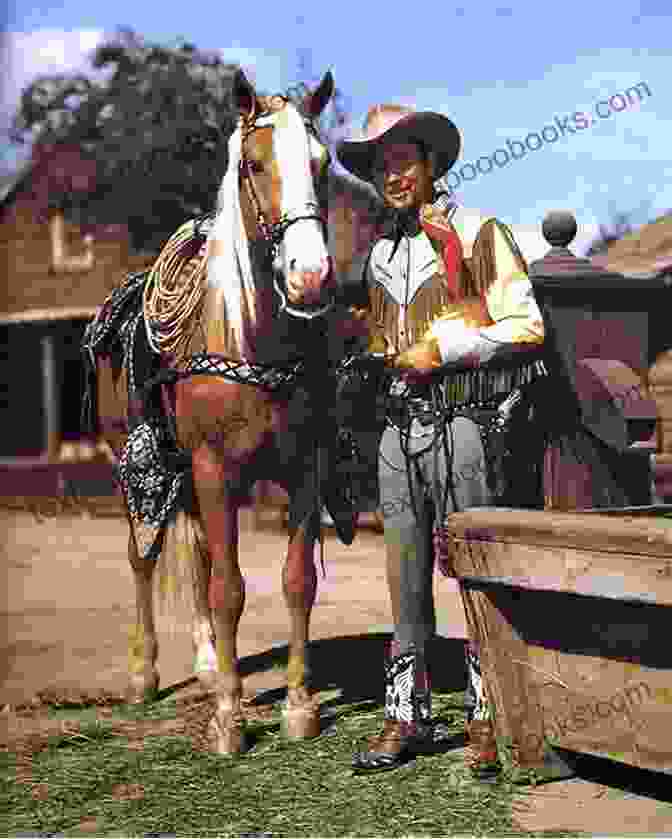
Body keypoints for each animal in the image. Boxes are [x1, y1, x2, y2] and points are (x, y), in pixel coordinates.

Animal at [89, 69, 364, 756]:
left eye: (321, 163)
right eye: (254, 163)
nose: (311, 276)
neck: (252, 343)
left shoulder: (303, 471)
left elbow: (295, 581)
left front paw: (298, 707)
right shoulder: (215, 471)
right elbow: (230, 589)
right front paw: (229, 721)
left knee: (198, 559)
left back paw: (212, 664)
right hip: (136, 466)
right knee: (144, 557)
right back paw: (146, 674)